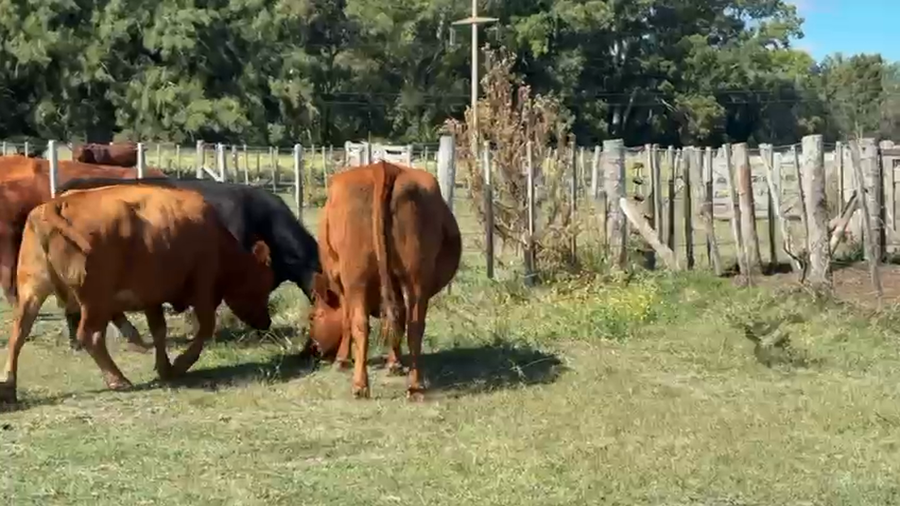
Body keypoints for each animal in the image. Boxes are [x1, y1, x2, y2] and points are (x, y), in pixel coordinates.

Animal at [0, 185, 275, 403]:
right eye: (263, 286)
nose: (267, 322)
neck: (217, 239)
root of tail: (54, 204)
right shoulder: (203, 288)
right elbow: (205, 328)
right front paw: (180, 365)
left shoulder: (152, 296)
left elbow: (159, 330)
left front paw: (164, 367)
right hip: (95, 300)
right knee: (89, 336)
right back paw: (118, 379)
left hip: (32, 292)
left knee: (18, 334)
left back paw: (9, 387)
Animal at [306, 160, 461, 400]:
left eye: (314, 317)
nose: (313, 349)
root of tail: (383, 167)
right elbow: (396, 319)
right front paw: (394, 363)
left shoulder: (342, 286)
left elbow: (347, 321)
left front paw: (342, 360)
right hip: (416, 278)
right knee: (414, 325)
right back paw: (414, 385)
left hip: (356, 278)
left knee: (360, 324)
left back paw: (360, 385)